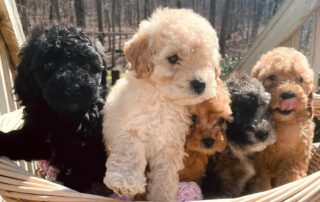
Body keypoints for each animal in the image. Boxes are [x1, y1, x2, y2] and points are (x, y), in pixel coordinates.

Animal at [0, 26, 110, 195]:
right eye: (48, 66)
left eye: (87, 64)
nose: (73, 87)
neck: (64, 118)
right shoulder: (37, 135)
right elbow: (18, 140)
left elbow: (83, 169)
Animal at [102, 7, 220, 200]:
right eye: (173, 58)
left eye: (206, 60)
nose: (200, 84)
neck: (163, 99)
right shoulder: (128, 128)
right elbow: (130, 152)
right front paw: (125, 183)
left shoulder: (169, 145)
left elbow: (165, 175)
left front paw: (162, 196)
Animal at [250, 46, 316, 192]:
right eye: (272, 77)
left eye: (300, 79)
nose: (288, 94)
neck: (281, 123)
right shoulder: (259, 163)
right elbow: (261, 183)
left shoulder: (294, 158)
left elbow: (290, 178)